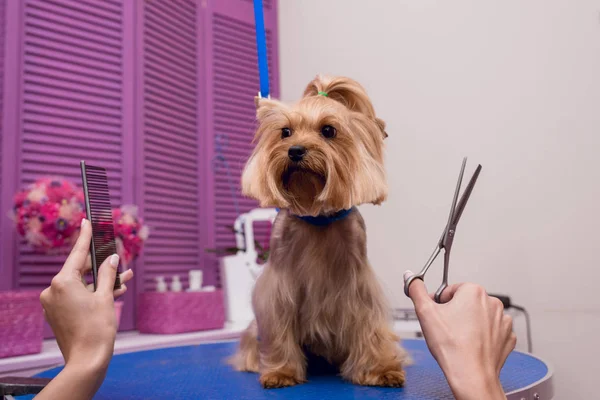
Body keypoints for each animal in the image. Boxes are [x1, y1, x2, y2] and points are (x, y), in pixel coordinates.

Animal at [231, 75, 408, 388]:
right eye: (285, 132)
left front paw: (379, 369)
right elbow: (279, 330)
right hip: (255, 330)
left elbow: (369, 327)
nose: (295, 151)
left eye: (328, 130)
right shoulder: (278, 290)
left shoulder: (359, 289)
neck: (317, 216)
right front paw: (281, 372)